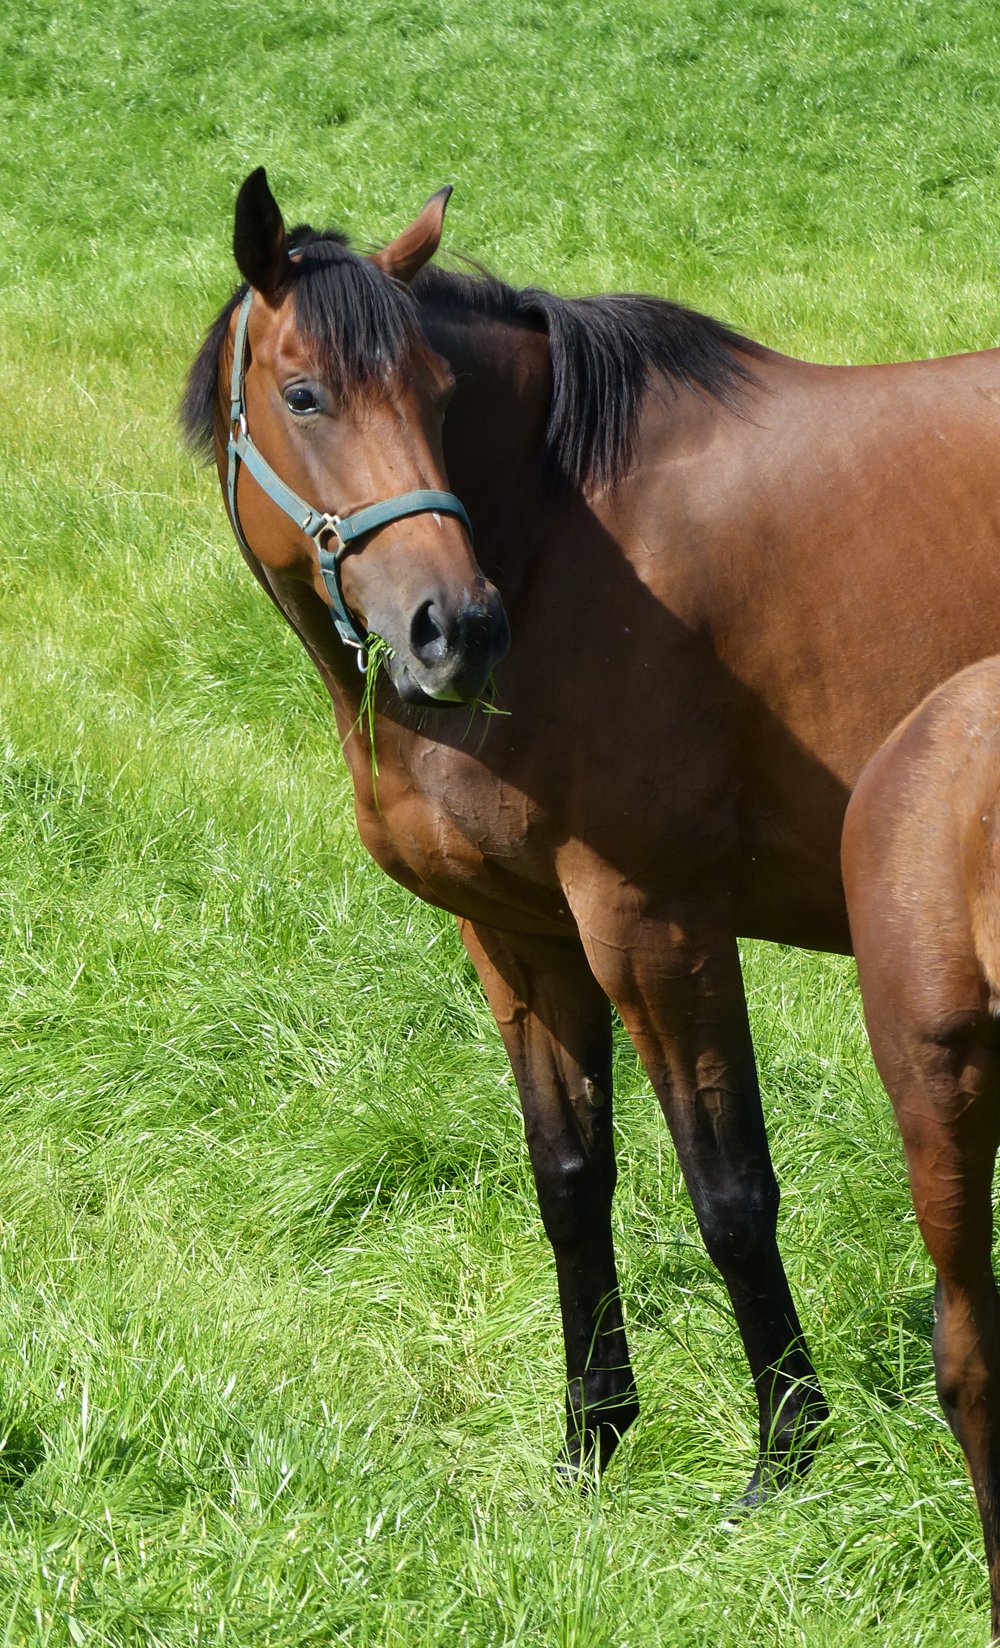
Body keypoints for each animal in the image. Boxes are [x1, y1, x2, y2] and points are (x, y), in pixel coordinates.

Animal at [184, 164, 1000, 1565]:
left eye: (437, 398)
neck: (565, 538)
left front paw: (785, 1455)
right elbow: (570, 1179)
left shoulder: (653, 921)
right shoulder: (520, 938)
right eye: (304, 396)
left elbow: (728, 1190)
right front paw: (591, 1441)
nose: (455, 629)